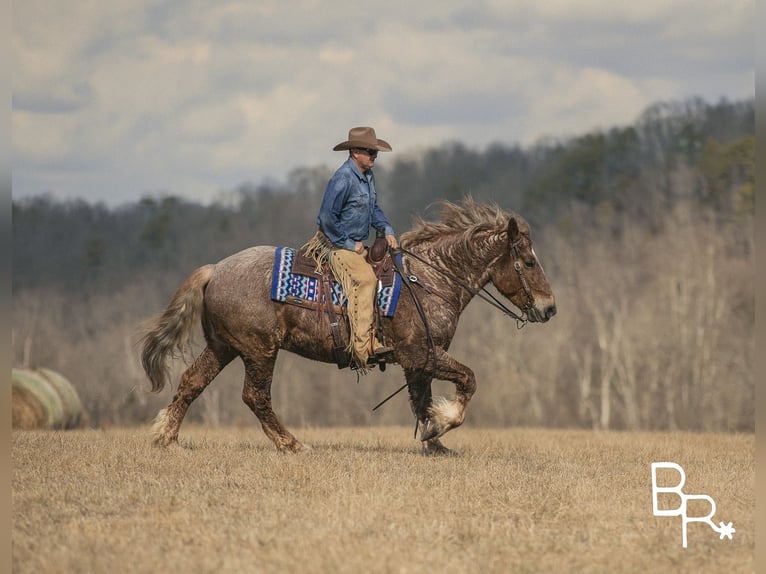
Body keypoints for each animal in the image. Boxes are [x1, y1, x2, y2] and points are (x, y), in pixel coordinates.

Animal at [140, 200, 560, 456]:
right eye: (527, 261)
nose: (550, 307)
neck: (428, 279)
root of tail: (215, 270)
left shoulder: (417, 363)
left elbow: (421, 401)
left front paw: (434, 442)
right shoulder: (422, 354)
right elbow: (467, 381)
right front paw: (442, 426)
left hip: (223, 347)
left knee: (191, 383)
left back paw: (166, 438)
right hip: (259, 351)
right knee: (255, 397)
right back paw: (292, 444)